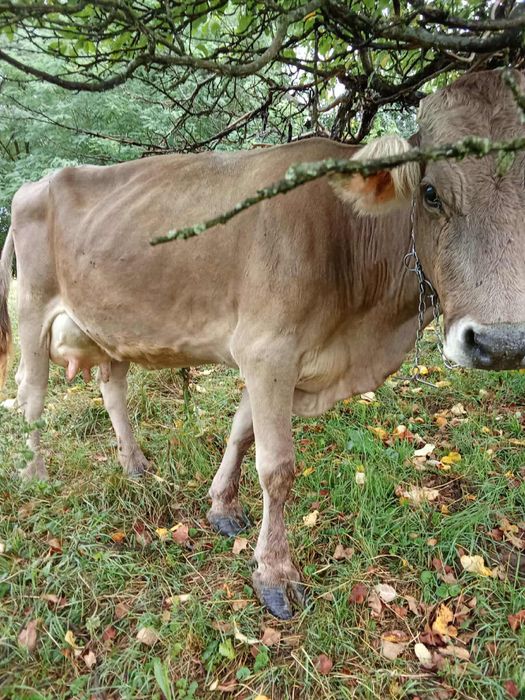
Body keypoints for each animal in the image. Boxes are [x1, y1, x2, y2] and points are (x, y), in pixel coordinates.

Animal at [1, 69, 525, 619]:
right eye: (430, 192)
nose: (502, 342)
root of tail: (35, 185)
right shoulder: (268, 350)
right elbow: (277, 467)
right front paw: (275, 574)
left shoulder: (271, 359)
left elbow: (240, 433)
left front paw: (222, 507)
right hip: (34, 307)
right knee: (31, 394)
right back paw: (35, 473)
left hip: (112, 325)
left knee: (110, 385)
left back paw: (133, 463)